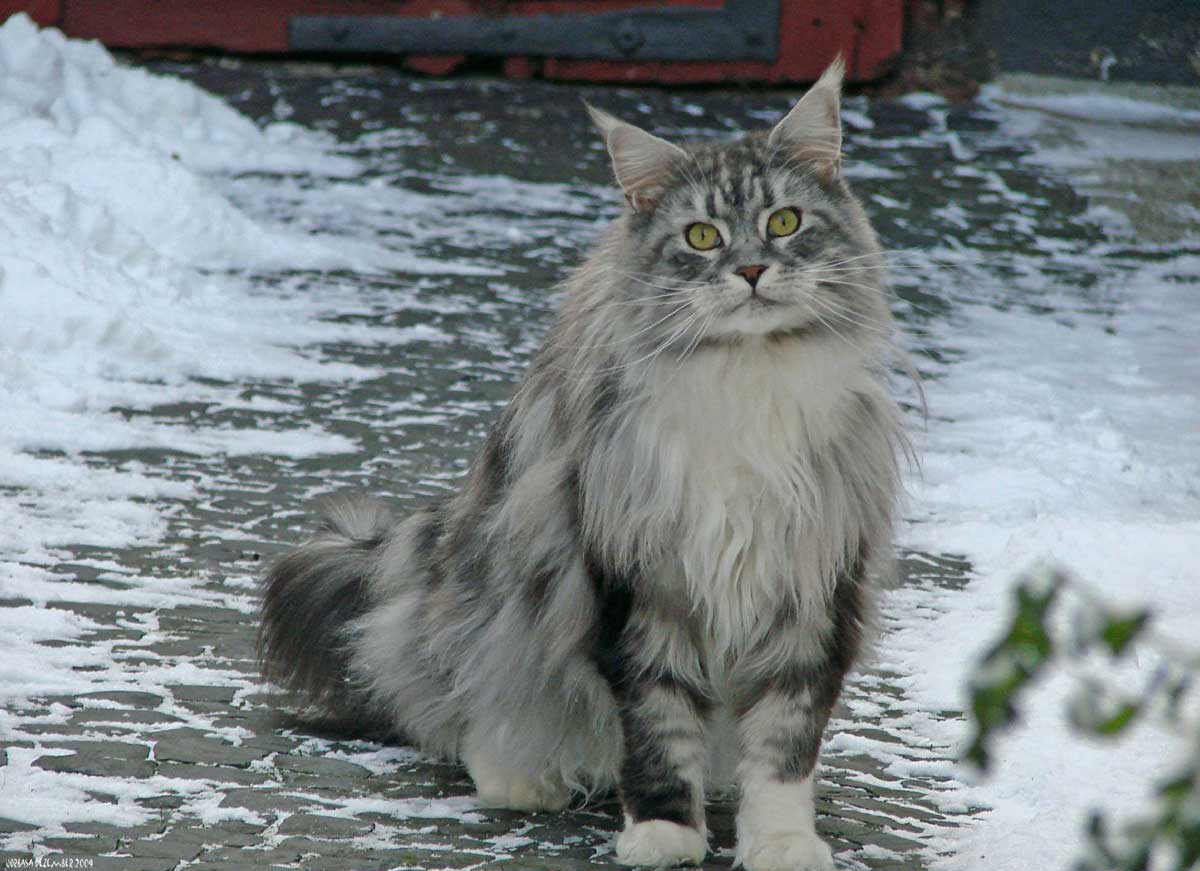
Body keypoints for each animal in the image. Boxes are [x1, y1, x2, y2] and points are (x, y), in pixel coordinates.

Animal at [260, 57, 902, 868]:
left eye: (784, 222)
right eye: (701, 236)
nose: (753, 270)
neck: (746, 380)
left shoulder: (813, 582)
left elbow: (785, 745)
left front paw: (783, 842)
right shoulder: (634, 580)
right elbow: (658, 727)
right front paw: (664, 832)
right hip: (493, 596)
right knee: (458, 700)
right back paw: (520, 775)